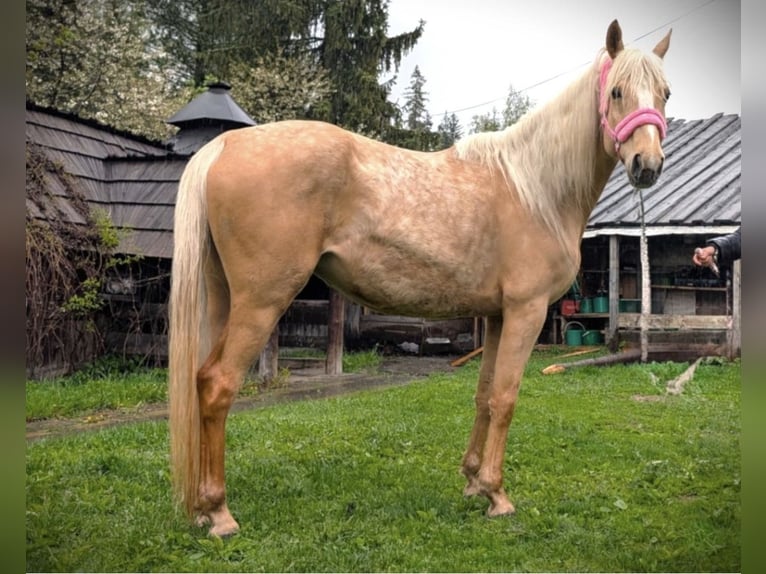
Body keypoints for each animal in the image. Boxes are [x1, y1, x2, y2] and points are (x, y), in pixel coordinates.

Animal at [169, 19, 672, 537]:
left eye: (666, 93)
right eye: (616, 91)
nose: (647, 165)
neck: (535, 190)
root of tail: (225, 145)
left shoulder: (496, 317)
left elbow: (484, 394)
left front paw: (473, 481)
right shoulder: (525, 312)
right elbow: (506, 397)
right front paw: (497, 494)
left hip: (221, 298)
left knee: (201, 378)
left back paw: (202, 508)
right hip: (261, 302)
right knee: (219, 385)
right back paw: (220, 513)